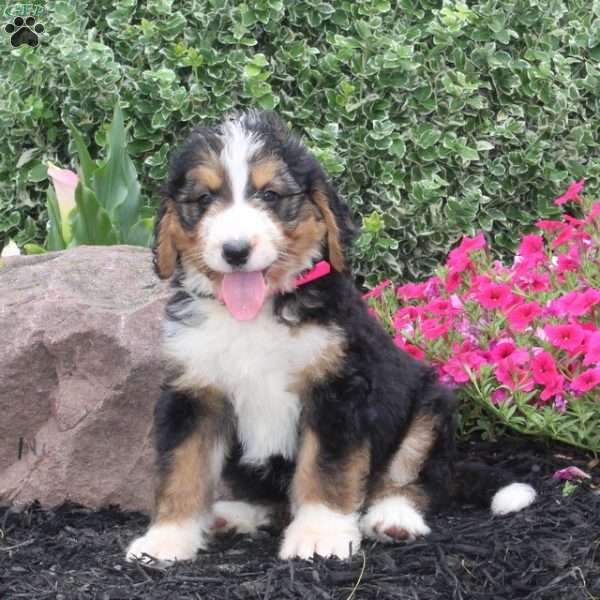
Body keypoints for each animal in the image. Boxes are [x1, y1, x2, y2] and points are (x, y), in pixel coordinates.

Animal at [125, 110, 536, 564]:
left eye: (271, 195)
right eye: (202, 200)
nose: (235, 251)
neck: (257, 313)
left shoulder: (336, 389)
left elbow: (325, 467)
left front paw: (320, 536)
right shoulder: (195, 392)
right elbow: (182, 468)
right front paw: (166, 540)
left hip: (429, 407)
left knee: (415, 482)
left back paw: (392, 518)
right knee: (273, 502)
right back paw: (234, 515)